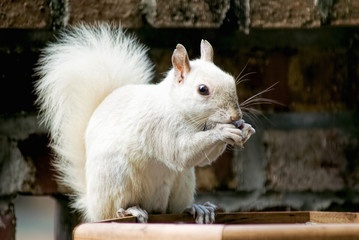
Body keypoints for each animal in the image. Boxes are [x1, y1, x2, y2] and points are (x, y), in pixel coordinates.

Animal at [35, 23, 256, 223]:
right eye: (203, 89)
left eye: (231, 79)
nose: (235, 116)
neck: (176, 107)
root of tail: (91, 205)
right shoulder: (159, 128)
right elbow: (180, 152)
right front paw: (223, 131)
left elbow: (202, 159)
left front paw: (245, 128)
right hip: (116, 178)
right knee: (113, 210)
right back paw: (130, 210)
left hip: (182, 183)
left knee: (175, 209)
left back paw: (197, 209)